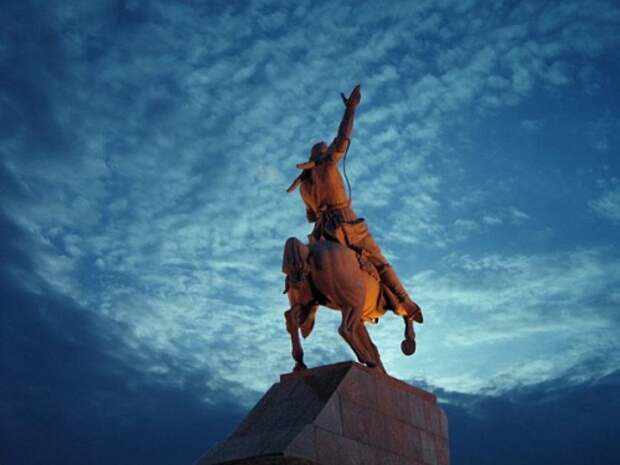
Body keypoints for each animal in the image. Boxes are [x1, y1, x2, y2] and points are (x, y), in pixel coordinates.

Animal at [282, 237, 417, 373]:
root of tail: (310, 249)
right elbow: (405, 313)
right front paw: (409, 340)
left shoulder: (360, 319)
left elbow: (370, 344)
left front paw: (381, 369)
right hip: (354, 302)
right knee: (345, 329)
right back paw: (368, 360)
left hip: (308, 303)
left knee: (290, 316)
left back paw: (300, 363)